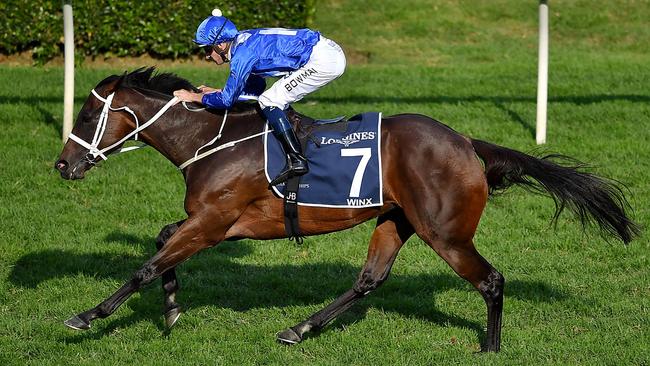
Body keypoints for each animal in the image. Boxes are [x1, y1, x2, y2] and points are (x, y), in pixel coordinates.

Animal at [52, 68, 636, 352]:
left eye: (86, 115)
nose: (62, 165)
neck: (210, 141)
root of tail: (467, 142)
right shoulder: (221, 224)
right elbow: (161, 242)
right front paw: (172, 307)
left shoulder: (216, 221)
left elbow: (148, 264)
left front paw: (88, 316)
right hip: (396, 220)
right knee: (369, 280)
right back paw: (300, 328)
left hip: (445, 233)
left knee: (491, 281)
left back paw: (490, 348)